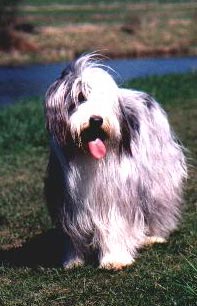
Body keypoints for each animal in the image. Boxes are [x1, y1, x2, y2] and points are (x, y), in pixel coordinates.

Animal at [43, 53, 187, 268]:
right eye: (80, 97)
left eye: (103, 98)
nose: (96, 120)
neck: (88, 156)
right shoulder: (66, 196)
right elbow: (71, 230)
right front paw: (73, 259)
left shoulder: (115, 193)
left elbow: (115, 223)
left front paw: (115, 259)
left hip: (156, 174)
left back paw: (155, 235)